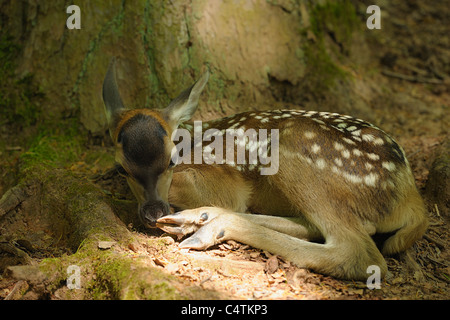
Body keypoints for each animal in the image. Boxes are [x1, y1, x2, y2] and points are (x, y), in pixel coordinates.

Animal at [103, 59, 428, 280]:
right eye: (121, 169)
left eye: (171, 161)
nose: (153, 212)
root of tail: (411, 195)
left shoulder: (224, 182)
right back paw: (198, 218)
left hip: (293, 145)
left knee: (359, 253)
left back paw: (207, 226)